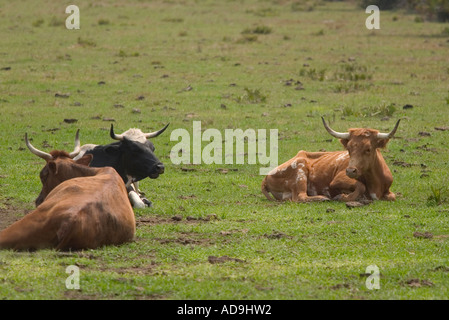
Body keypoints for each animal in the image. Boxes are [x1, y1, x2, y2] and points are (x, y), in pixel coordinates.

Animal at [260, 117, 400, 202]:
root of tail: (267, 176)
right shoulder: (337, 180)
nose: (350, 171)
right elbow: (360, 186)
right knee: (300, 197)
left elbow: (392, 196)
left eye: (368, 149)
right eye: (348, 148)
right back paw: (322, 198)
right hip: (300, 169)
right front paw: (342, 196)